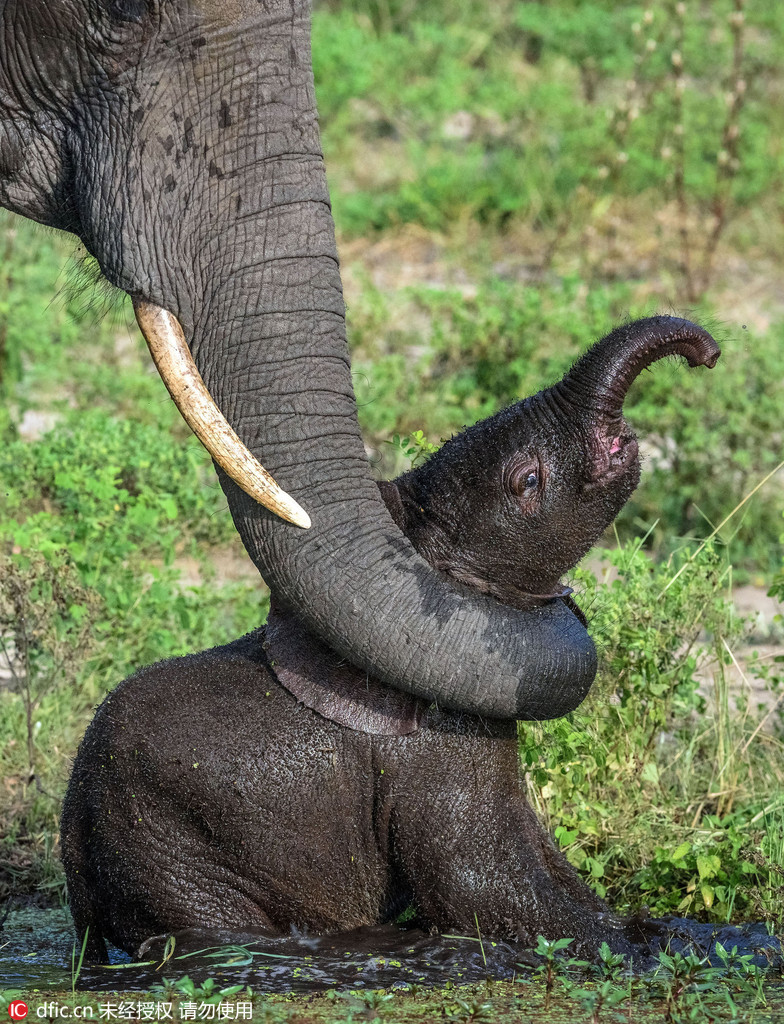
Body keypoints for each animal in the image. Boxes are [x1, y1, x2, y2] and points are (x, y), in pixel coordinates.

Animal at [64, 315, 720, 962]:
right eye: (528, 479)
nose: (706, 354)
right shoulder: (430, 752)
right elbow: (479, 885)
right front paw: (663, 955)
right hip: (168, 852)